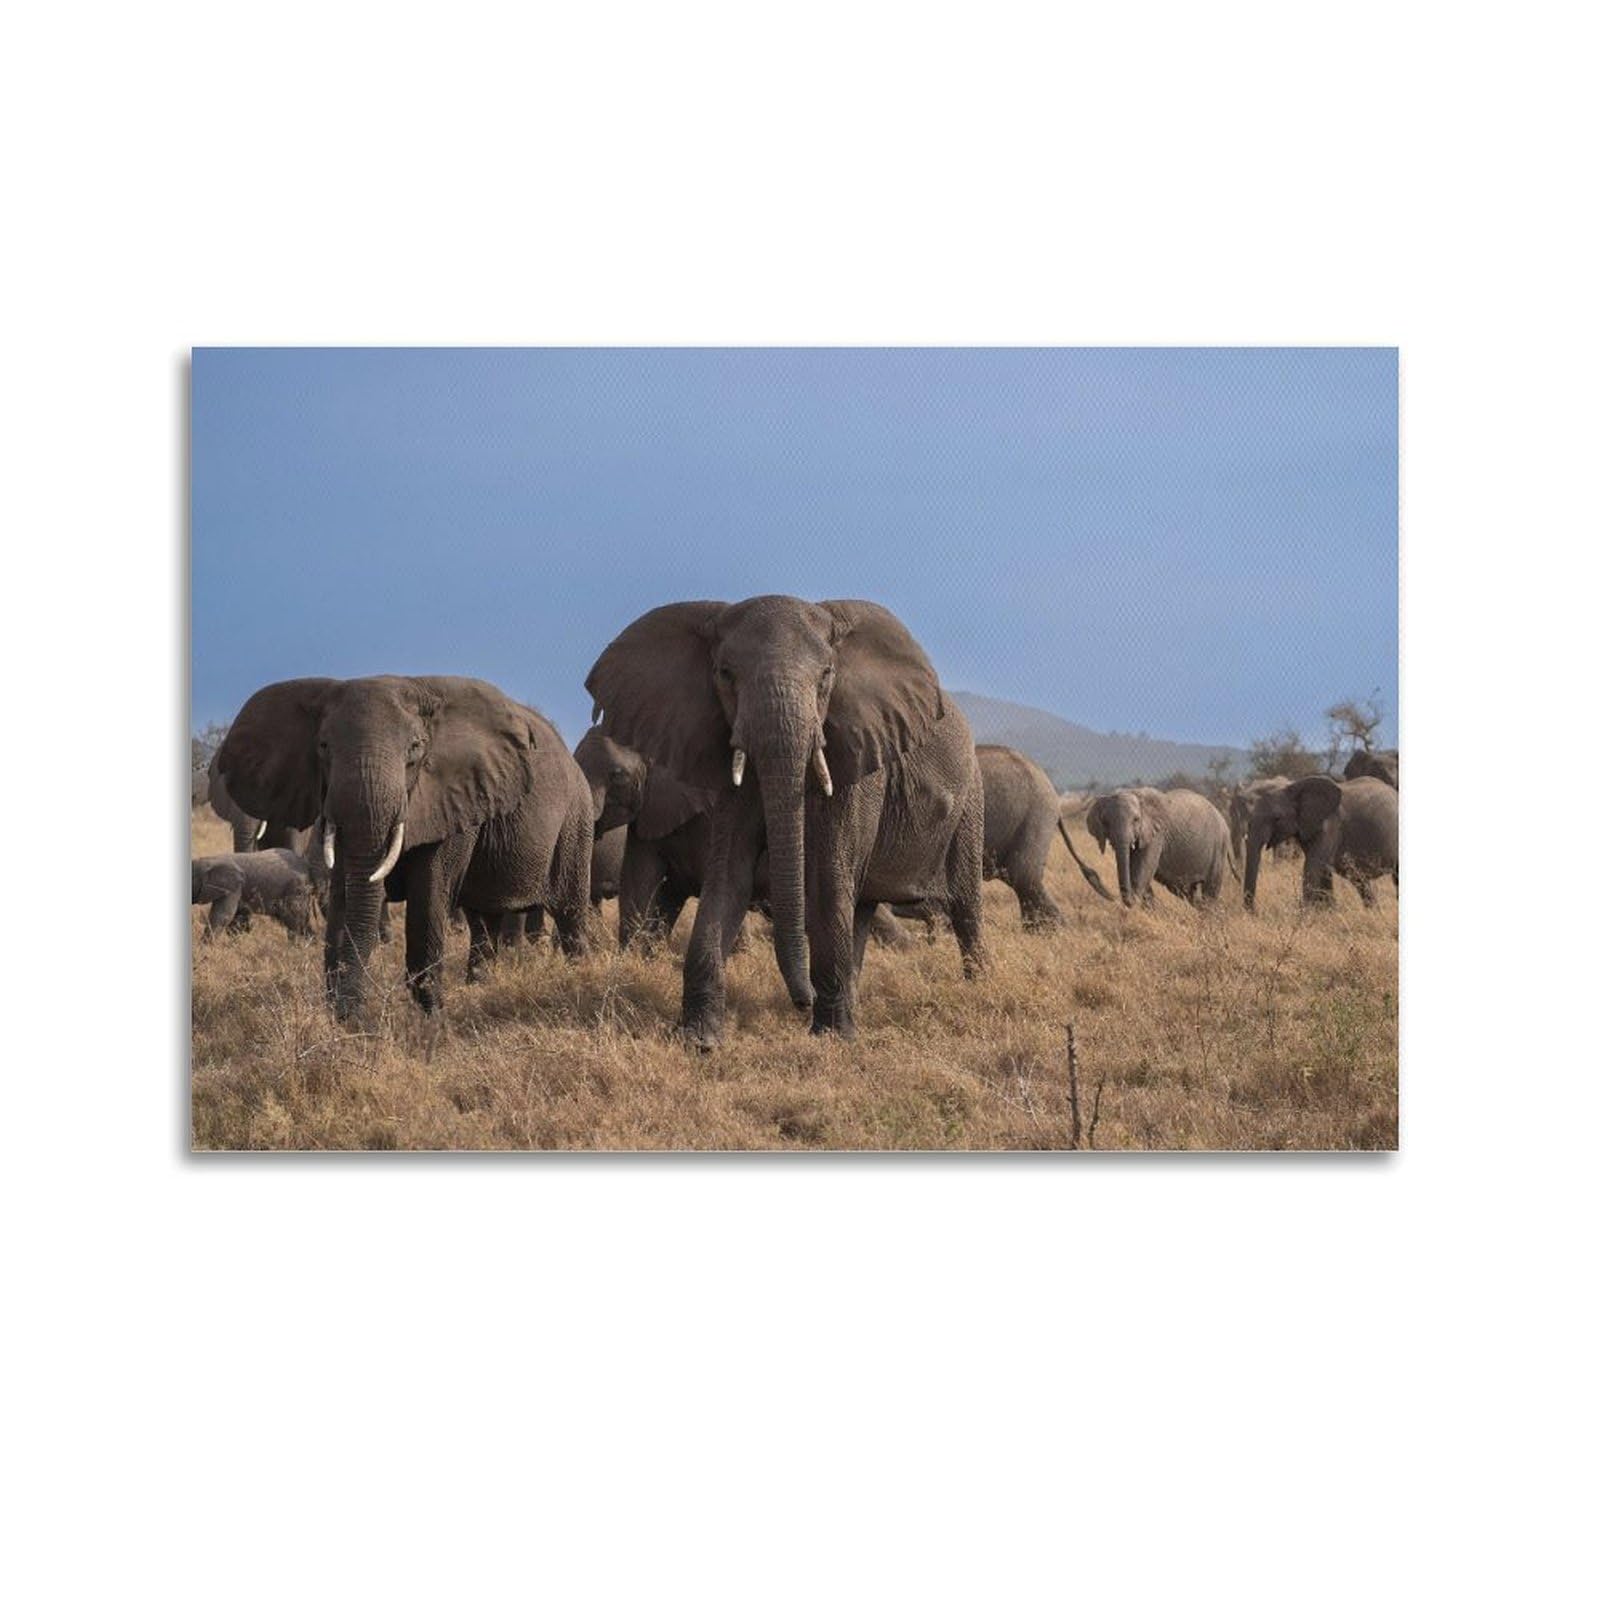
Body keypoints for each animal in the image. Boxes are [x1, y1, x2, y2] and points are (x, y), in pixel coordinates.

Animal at [214, 676, 593, 1018]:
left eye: (414, 749)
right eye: (323, 747)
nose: (351, 1018)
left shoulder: (454, 798)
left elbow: (429, 892)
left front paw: (431, 1020)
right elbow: (345, 891)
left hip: (576, 818)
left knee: (569, 911)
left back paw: (578, 974)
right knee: (484, 920)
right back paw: (480, 984)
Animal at [585, 596, 987, 1046]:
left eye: (827, 675)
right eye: (725, 674)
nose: (801, 1001)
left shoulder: (857, 757)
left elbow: (828, 878)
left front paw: (832, 1040)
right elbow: (727, 876)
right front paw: (699, 1039)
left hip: (970, 801)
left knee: (964, 907)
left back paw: (978, 986)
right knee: (862, 906)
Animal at [1085, 787, 1234, 906]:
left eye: (1136, 820)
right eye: (1105, 822)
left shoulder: (1156, 835)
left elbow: (1143, 869)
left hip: (1219, 847)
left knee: (1210, 892)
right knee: (1187, 891)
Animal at [1243, 774, 1398, 909]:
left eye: (1277, 818)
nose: (1254, 913)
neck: (1293, 788)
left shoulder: (1330, 824)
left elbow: (1312, 866)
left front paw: (1307, 915)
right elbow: (1323, 869)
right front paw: (1328, 913)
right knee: (1359, 880)